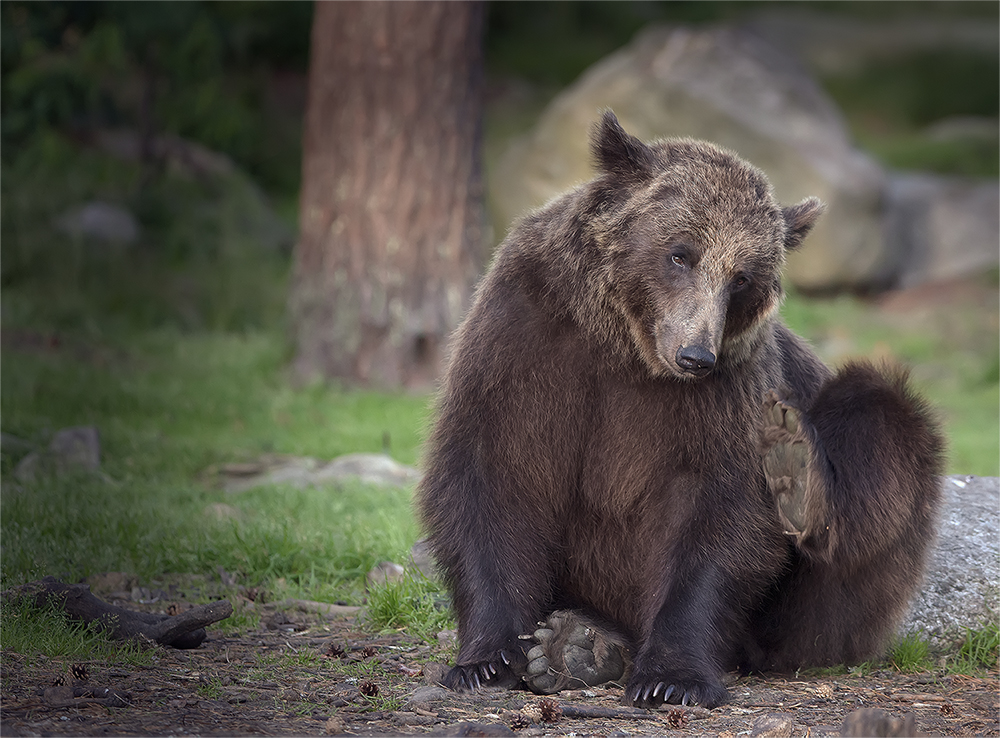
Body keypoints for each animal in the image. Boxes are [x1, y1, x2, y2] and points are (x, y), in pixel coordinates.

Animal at [416, 110, 944, 708]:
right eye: (679, 252)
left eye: (743, 277)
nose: (695, 355)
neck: (626, 346)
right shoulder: (525, 345)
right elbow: (490, 479)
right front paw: (485, 660)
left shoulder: (724, 400)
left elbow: (718, 517)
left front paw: (673, 677)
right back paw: (576, 644)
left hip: (821, 594)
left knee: (877, 418)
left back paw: (799, 473)